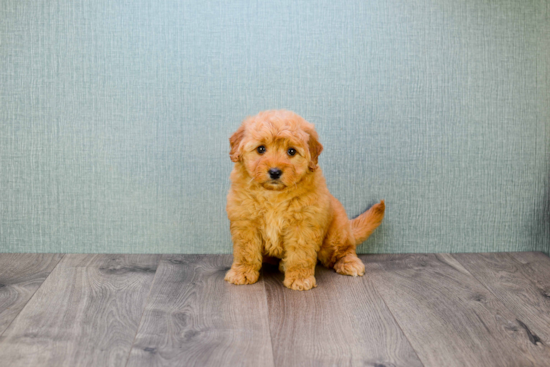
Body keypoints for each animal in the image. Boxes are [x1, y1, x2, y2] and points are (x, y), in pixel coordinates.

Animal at [226, 110, 386, 292]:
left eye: (291, 151)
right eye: (261, 149)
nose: (274, 172)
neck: (274, 194)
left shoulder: (302, 224)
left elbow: (300, 254)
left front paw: (299, 278)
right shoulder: (245, 221)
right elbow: (245, 251)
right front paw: (242, 272)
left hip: (336, 234)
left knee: (345, 249)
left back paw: (349, 263)